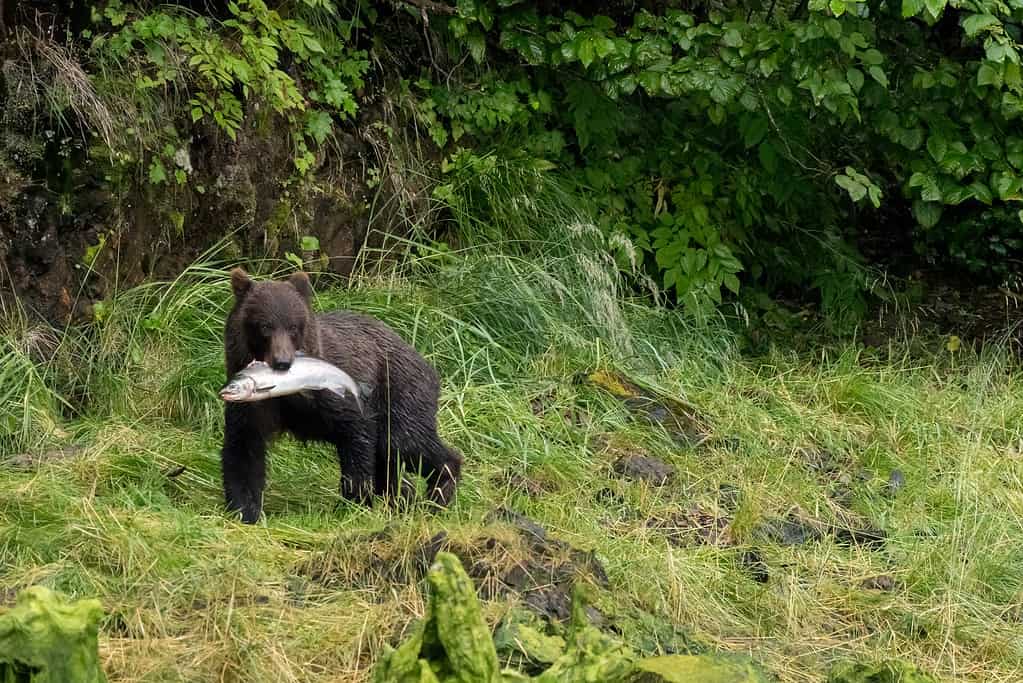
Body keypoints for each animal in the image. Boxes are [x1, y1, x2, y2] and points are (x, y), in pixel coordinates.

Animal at [225, 265, 468, 523]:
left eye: (293, 327)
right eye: (264, 326)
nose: (282, 362)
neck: (290, 392)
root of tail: (427, 363)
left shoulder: (335, 392)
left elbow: (357, 435)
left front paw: (353, 502)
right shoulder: (255, 404)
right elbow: (244, 449)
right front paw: (245, 509)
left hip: (401, 391)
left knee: (405, 442)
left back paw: (439, 492)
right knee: (390, 461)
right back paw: (405, 499)